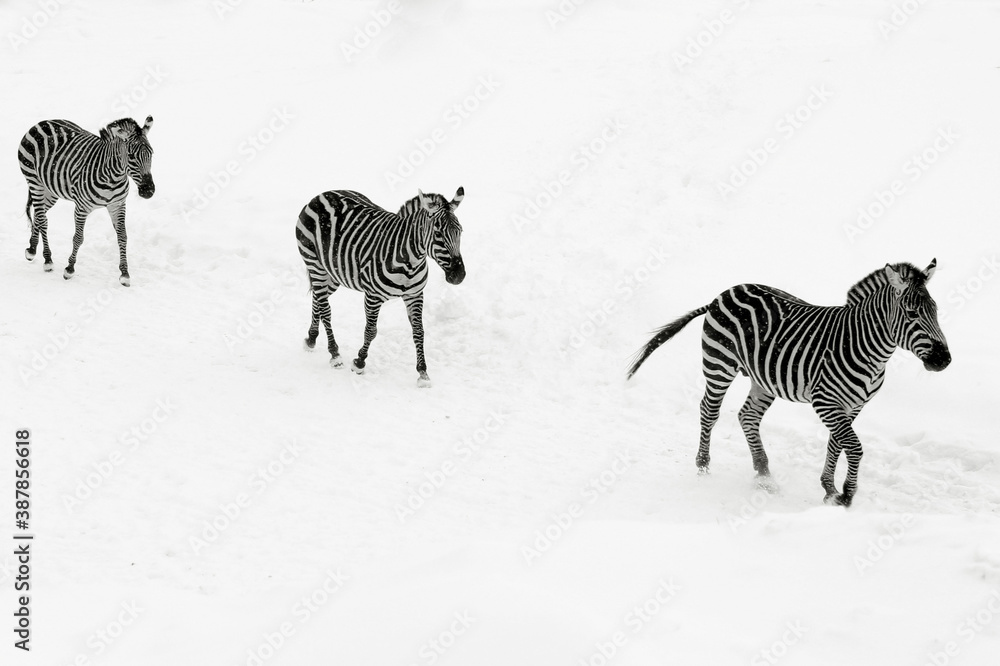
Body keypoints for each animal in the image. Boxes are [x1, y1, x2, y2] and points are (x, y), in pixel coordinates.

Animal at [18, 116, 155, 287]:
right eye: (131, 156)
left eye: (151, 154)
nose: (149, 191)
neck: (114, 177)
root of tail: (42, 122)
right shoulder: (82, 207)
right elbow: (78, 238)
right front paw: (69, 269)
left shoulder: (117, 205)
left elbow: (122, 237)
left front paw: (124, 274)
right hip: (34, 181)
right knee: (43, 219)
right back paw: (48, 259)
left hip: (50, 190)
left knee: (39, 214)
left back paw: (32, 249)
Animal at [295, 187, 466, 387]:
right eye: (438, 234)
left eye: (460, 232)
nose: (459, 275)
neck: (410, 261)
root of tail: (324, 193)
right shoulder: (372, 296)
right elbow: (371, 331)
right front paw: (359, 362)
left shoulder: (415, 295)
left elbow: (419, 332)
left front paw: (423, 373)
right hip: (315, 264)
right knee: (325, 308)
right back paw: (335, 354)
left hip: (333, 274)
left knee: (318, 299)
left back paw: (311, 339)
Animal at [627, 260, 951, 506]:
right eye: (912, 313)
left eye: (936, 311)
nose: (944, 359)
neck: (869, 349)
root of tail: (726, 292)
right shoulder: (826, 401)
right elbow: (854, 446)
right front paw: (846, 495)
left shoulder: (853, 405)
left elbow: (837, 443)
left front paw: (829, 489)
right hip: (719, 364)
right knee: (709, 411)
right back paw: (704, 467)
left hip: (763, 379)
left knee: (748, 416)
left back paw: (764, 475)